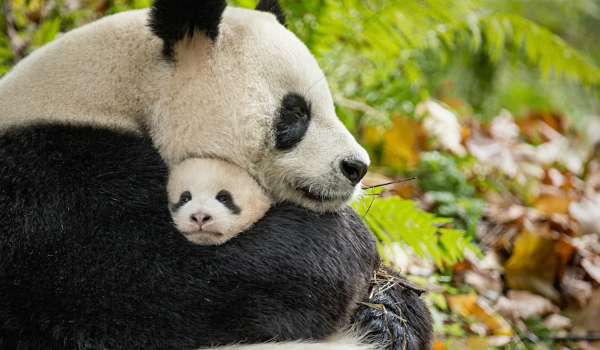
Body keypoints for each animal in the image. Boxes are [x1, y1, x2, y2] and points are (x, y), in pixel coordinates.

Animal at [0, 0, 432, 348]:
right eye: (294, 112)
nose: (356, 167)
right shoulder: (54, 189)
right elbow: (169, 282)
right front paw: (348, 243)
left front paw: (387, 317)